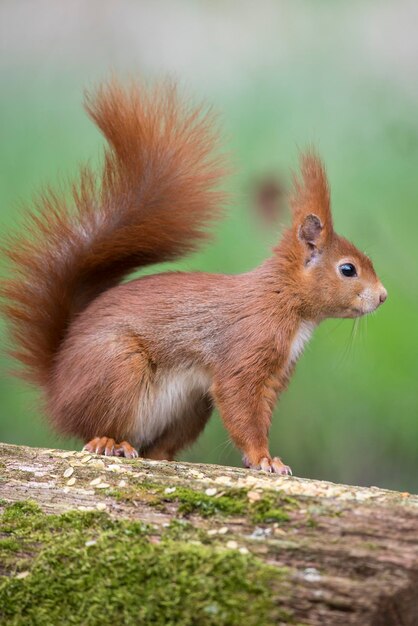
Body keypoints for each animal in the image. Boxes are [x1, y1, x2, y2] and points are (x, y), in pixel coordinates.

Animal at [0, 81, 386, 472]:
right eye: (348, 269)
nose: (383, 296)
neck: (283, 300)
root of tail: (57, 390)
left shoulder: (273, 377)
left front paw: (266, 459)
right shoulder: (245, 352)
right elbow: (241, 407)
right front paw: (264, 460)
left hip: (192, 405)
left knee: (156, 446)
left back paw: (159, 456)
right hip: (118, 369)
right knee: (94, 426)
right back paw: (109, 442)